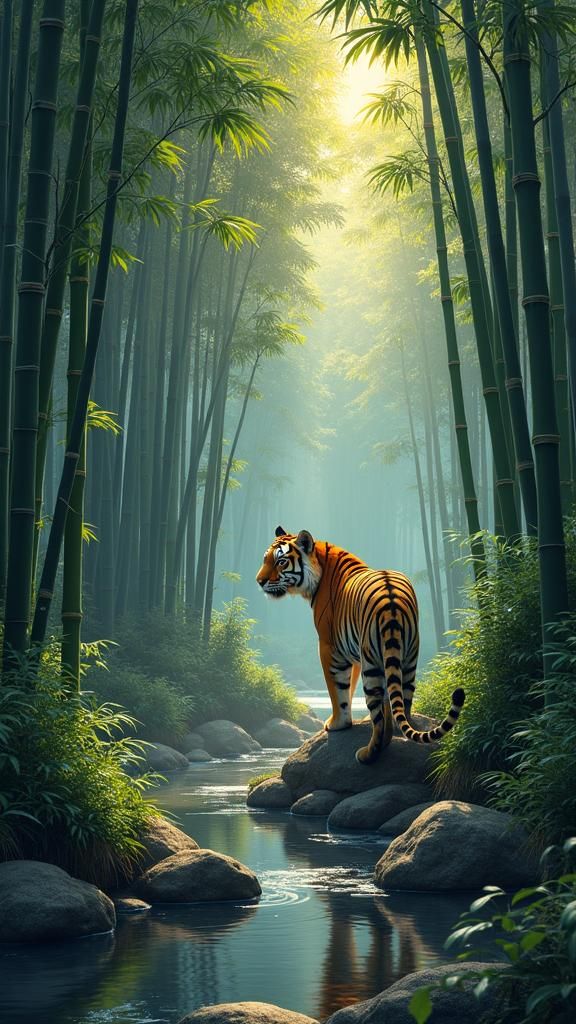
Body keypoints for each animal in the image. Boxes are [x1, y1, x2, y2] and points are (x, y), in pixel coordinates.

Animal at [256, 526, 465, 764]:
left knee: (378, 717)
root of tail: (391, 602)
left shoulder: (328, 647)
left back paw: (367, 754)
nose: (259, 581)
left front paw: (337, 724)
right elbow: (351, 688)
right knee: (401, 705)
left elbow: (337, 690)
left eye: (280, 562)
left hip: (372, 664)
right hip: (408, 658)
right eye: (265, 560)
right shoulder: (353, 653)